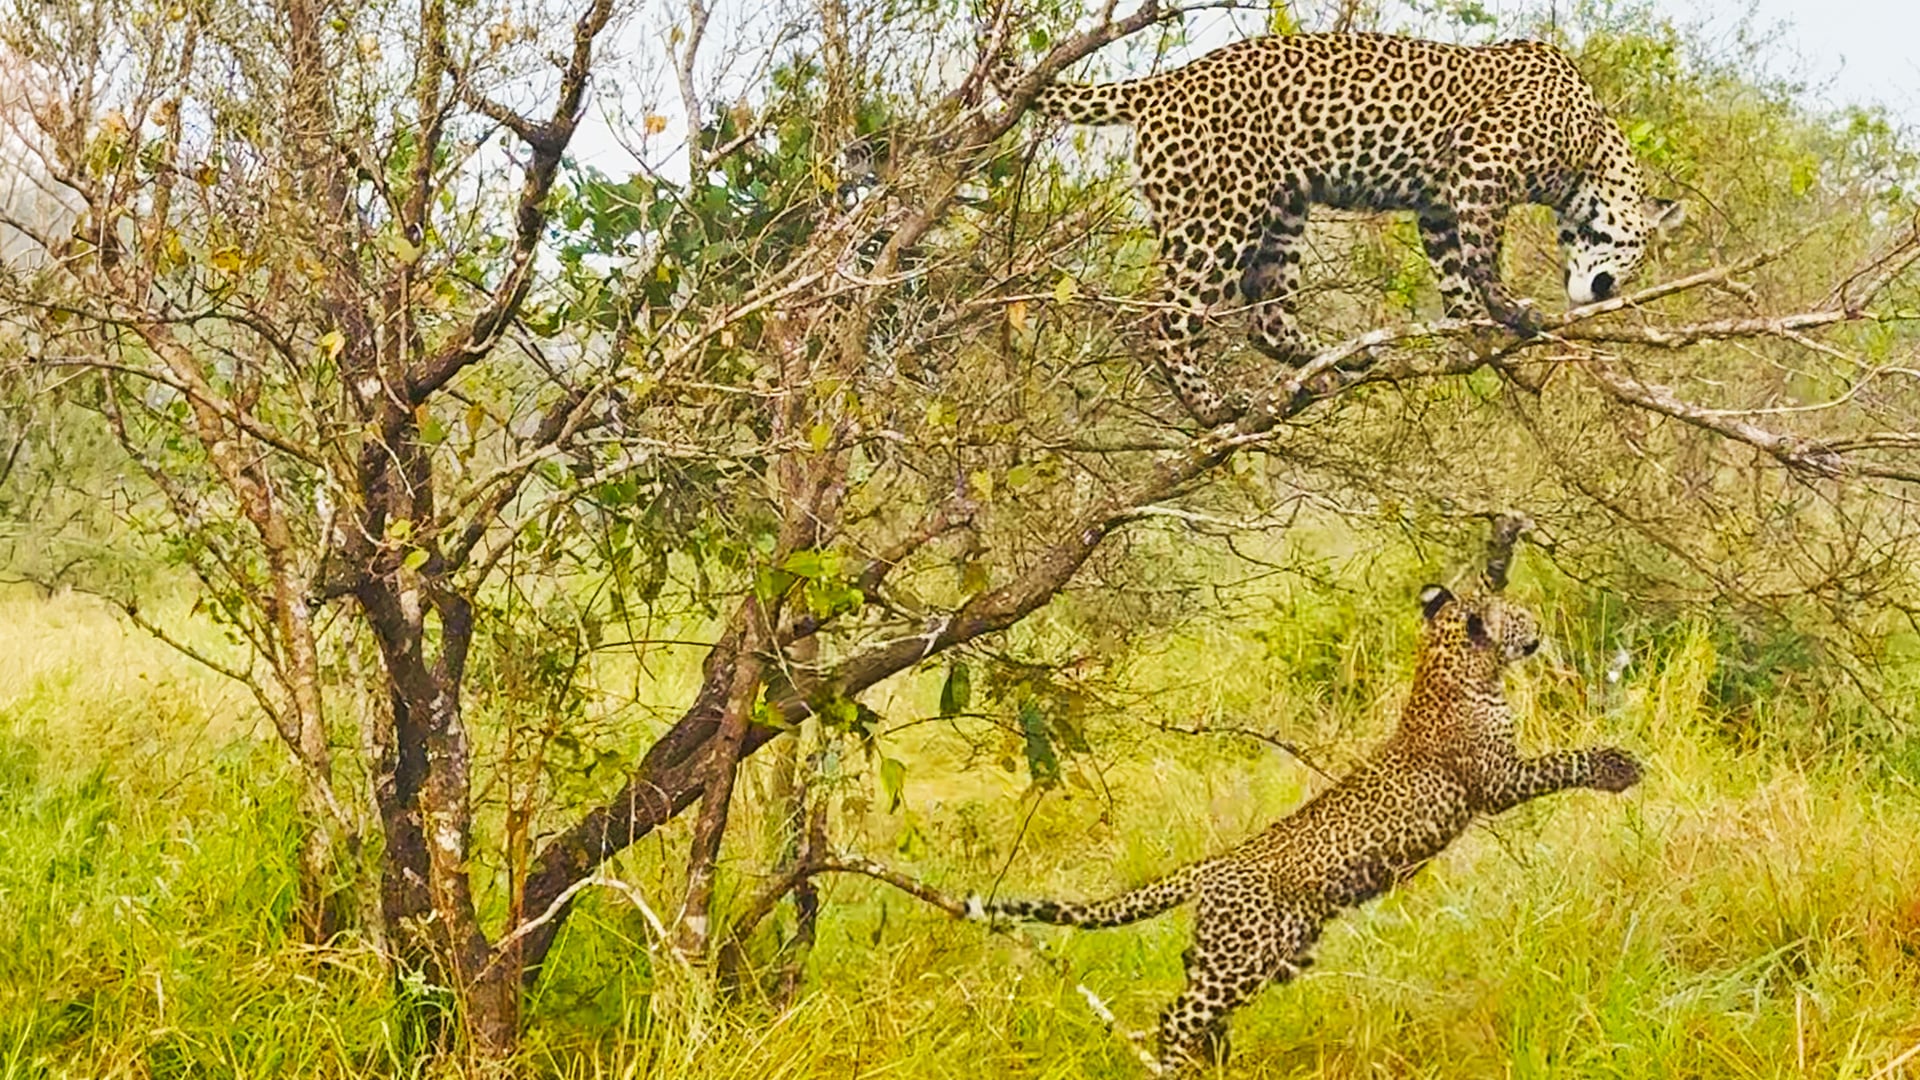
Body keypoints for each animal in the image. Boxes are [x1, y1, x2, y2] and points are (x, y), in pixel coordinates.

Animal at [965, 585, 1644, 1072]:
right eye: (1518, 614)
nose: (1539, 626)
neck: (1452, 667)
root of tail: (1216, 863)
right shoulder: (1499, 780)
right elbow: (1563, 760)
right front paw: (1617, 766)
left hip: (1259, 953)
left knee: (1193, 986)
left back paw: (1216, 1059)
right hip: (1244, 955)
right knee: (1175, 1015)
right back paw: (1177, 1067)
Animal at [999, 31, 1683, 424]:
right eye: (1634, 255)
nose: (1605, 293)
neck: (1591, 148)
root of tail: (1161, 83)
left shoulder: (1439, 205)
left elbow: (1453, 267)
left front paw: (1471, 325)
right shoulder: (1482, 161)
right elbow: (1484, 251)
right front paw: (1509, 310)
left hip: (1283, 214)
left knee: (1266, 317)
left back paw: (1338, 360)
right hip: (1223, 214)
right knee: (1166, 320)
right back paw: (1212, 407)